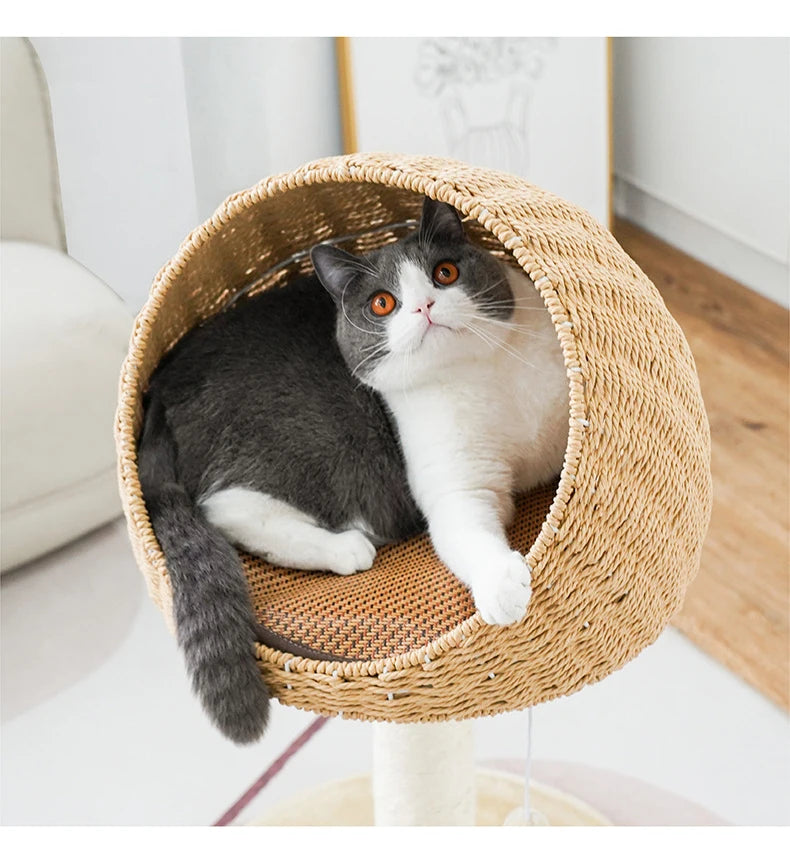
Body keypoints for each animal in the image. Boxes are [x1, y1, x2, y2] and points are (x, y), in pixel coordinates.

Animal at [136, 199, 568, 744]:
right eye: (382, 304)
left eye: (444, 273)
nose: (425, 306)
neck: (486, 377)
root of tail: (159, 388)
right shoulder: (454, 483)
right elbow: (466, 532)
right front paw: (503, 589)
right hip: (307, 439)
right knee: (224, 506)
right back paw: (346, 549)